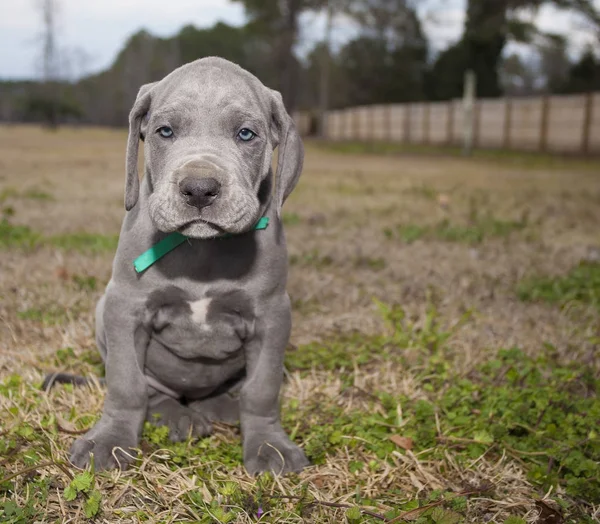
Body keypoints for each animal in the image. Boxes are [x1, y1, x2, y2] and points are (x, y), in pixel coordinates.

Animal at [65, 57, 310, 474]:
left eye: (246, 134)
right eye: (165, 131)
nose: (199, 188)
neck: (202, 252)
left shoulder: (273, 315)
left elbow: (262, 389)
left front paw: (269, 446)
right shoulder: (124, 306)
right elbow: (126, 383)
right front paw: (109, 441)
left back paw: (222, 408)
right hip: (101, 312)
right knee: (153, 391)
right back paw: (177, 417)